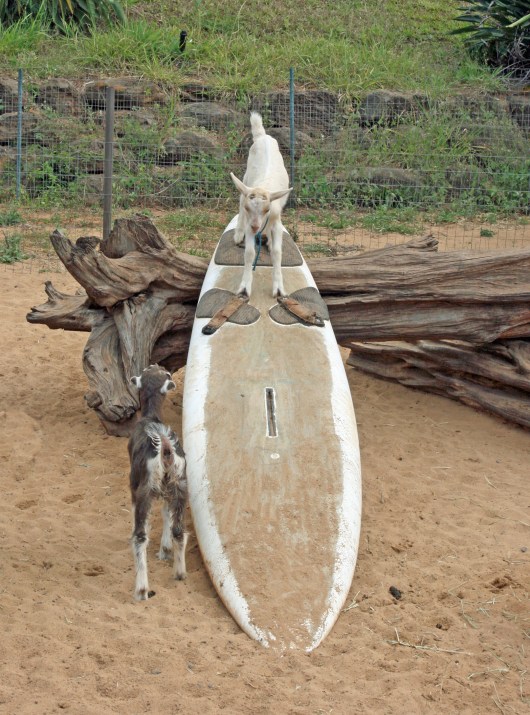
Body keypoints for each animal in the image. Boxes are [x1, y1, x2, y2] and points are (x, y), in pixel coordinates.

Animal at [128, 364, 188, 601]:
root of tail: (164, 446)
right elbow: (166, 514)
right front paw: (165, 550)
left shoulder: (135, 485)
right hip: (179, 485)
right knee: (179, 529)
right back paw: (179, 573)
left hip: (146, 488)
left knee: (140, 537)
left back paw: (142, 589)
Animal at [230, 112, 292, 299]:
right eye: (248, 208)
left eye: (267, 209)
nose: (256, 227)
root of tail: (262, 136)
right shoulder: (250, 221)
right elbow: (250, 253)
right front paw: (245, 287)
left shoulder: (276, 220)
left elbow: (278, 253)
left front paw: (278, 287)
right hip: (245, 180)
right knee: (239, 199)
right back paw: (238, 234)